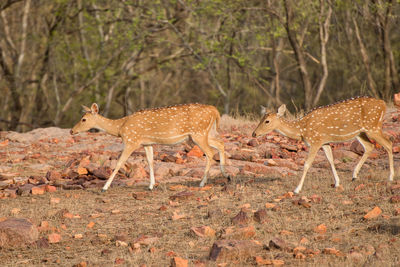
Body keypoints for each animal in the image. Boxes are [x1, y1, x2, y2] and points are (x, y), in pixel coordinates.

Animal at [70, 103, 228, 193]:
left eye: (83, 119)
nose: (71, 131)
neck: (120, 128)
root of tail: (215, 111)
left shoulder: (131, 141)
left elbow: (119, 162)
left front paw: (104, 188)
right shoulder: (147, 143)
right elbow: (151, 162)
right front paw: (151, 186)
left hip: (198, 133)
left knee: (210, 152)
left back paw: (202, 183)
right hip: (201, 134)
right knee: (220, 143)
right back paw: (225, 174)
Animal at [253, 97, 394, 194]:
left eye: (267, 121)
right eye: (260, 119)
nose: (254, 133)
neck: (302, 130)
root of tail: (383, 104)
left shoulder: (315, 141)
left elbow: (307, 164)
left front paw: (297, 189)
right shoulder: (324, 142)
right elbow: (330, 160)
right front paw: (337, 183)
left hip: (373, 127)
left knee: (389, 143)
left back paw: (390, 177)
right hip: (361, 132)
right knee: (369, 146)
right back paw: (354, 175)